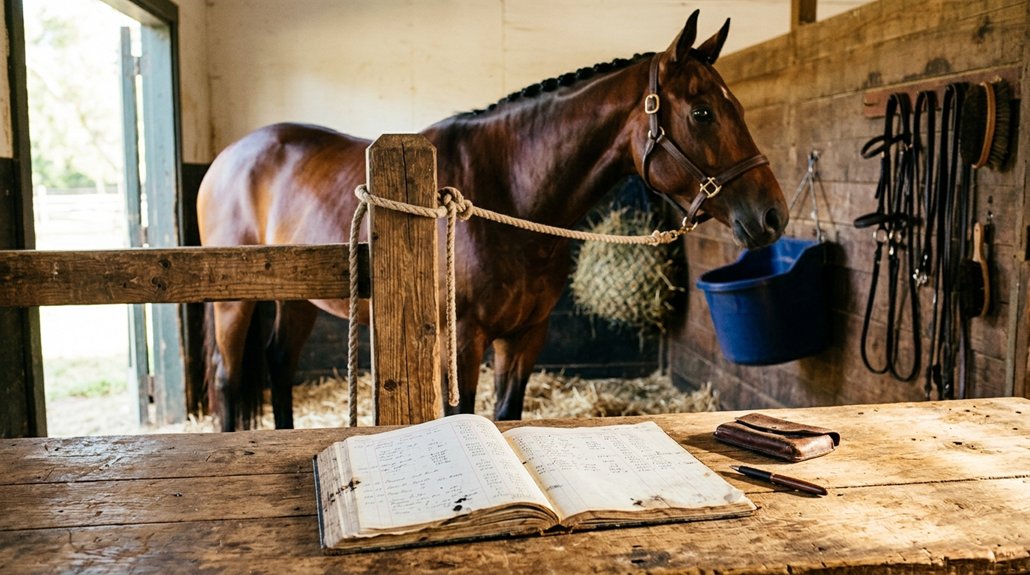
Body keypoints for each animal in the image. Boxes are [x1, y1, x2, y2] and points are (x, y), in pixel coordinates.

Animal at [197, 10, 787, 431]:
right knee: (228, 378)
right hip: (235, 301)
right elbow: (461, 415)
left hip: (299, 297)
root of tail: (226, 158)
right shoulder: (461, 340)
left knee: (277, 364)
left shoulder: (525, 336)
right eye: (702, 113)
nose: (772, 215)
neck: (509, 194)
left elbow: (507, 414)